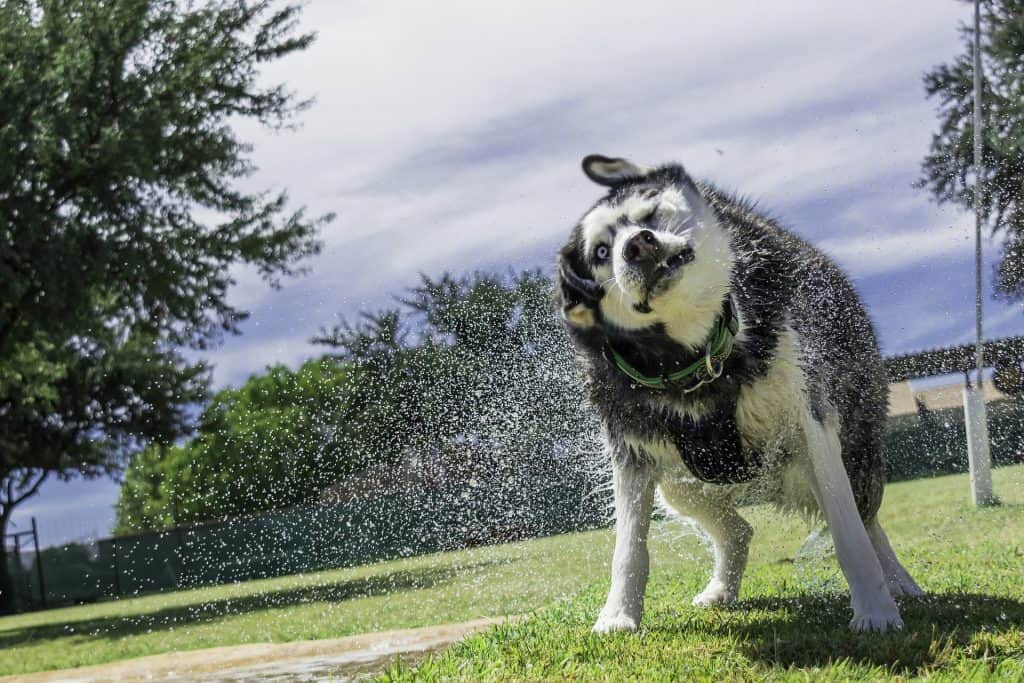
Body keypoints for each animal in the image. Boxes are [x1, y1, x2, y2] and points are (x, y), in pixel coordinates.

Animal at [557, 156, 925, 634]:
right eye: (601, 252)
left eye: (649, 215)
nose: (637, 245)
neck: (695, 362)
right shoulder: (631, 450)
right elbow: (629, 548)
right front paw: (618, 616)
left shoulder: (809, 421)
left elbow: (849, 532)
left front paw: (876, 611)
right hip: (680, 484)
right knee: (738, 530)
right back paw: (721, 590)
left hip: (856, 447)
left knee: (868, 518)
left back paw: (899, 582)